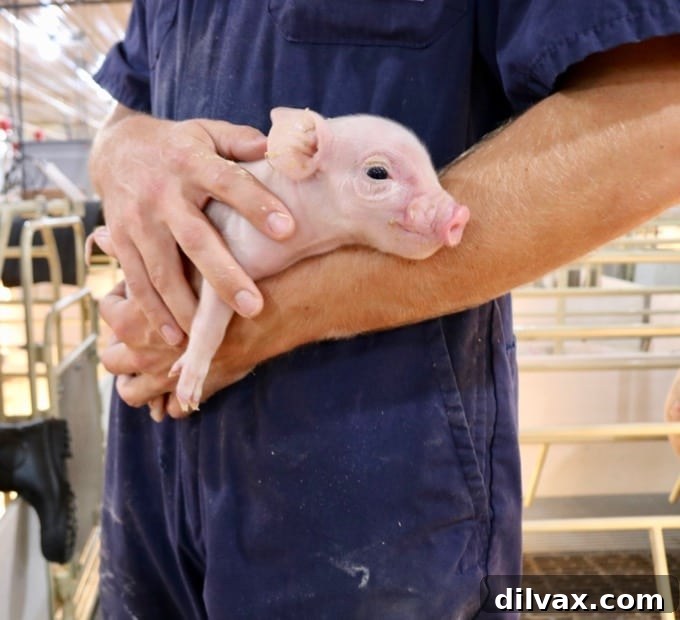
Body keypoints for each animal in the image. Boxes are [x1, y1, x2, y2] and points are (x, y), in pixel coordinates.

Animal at [92, 107, 470, 414]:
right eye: (377, 173)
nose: (460, 214)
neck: (306, 240)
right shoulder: (229, 253)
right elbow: (210, 320)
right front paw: (187, 393)